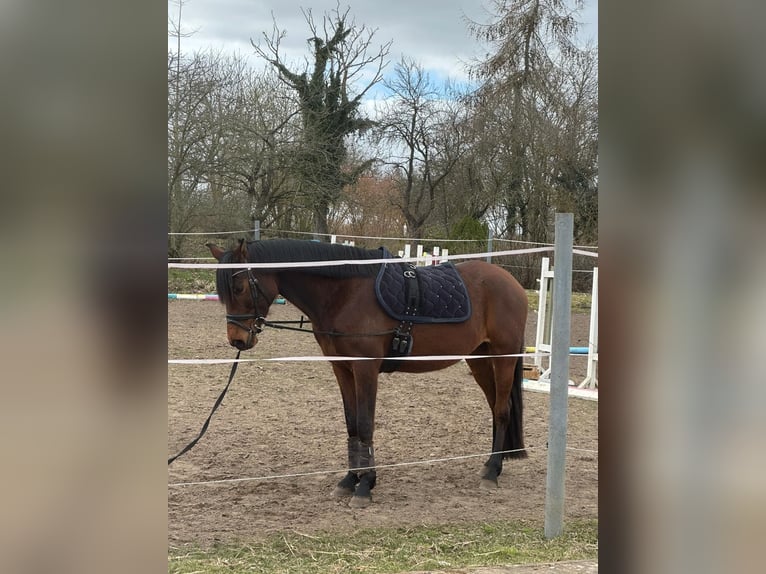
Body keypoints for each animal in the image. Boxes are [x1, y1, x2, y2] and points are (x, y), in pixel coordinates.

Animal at [207, 238, 528, 508]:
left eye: (239, 287)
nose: (237, 340)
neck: (345, 294)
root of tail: (511, 283)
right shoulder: (342, 368)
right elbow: (351, 425)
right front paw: (350, 480)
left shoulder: (365, 368)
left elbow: (365, 424)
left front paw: (365, 486)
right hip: (479, 359)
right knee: (496, 407)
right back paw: (490, 465)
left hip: (503, 357)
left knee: (502, 410)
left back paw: (492, 472)